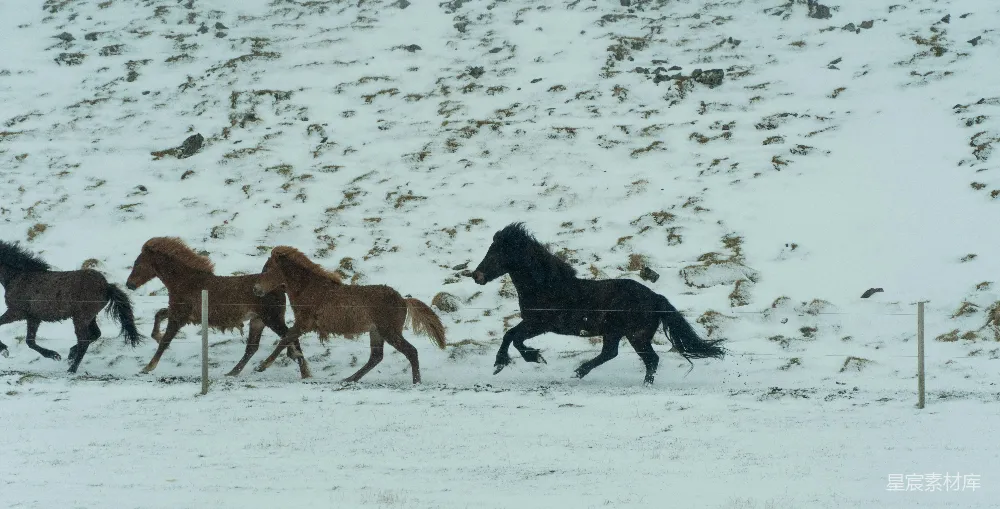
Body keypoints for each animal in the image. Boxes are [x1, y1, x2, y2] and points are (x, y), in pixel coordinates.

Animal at [0, 240, 142, 373]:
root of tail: (107, 287)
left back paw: (72, 369)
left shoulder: (16, 312)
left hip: (80, 318)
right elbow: (30, 341)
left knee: (84, 340)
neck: (17, 276)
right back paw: (71, 355)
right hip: (89, 317)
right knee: (95, 334)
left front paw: (4, 350)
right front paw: (54, 355)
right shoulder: (33, 317)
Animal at [124, 237, 293, 376]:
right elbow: (159, 314)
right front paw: (156, 336)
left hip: (271, 319)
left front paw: (148, 367)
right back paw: (234, 372)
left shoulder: (179, 317)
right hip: (258, 320)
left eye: (137, 264)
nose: (129, 284)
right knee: (254, 347)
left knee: (288, 335)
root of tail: (280, 286)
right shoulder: (179, 313)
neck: (187, 282)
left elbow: (166, 340)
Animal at [252, 246, 447, 383]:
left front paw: (261, 367)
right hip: (376, 332)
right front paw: (293, 357)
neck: (309, 288)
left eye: (267, 269)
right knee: (376, 357)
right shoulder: (303, 324)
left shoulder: (304, 323)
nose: (256, 289)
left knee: (410, 351)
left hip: (389, 331)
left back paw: (416, 383)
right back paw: (349, 379)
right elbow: (288, 339)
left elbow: (285, 339)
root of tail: (403, 300)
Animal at [468, 222, 726, 384]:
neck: (546, 287)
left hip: (630, 334)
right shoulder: (534, 324)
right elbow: (512, 336)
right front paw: (513, 361)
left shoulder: (538, 324)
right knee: (628, 356)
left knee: (638, 358)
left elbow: (513, 337)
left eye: (496, 253)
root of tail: (655, 298)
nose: (476, 276)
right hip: (624, 334)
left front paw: (519, 360)